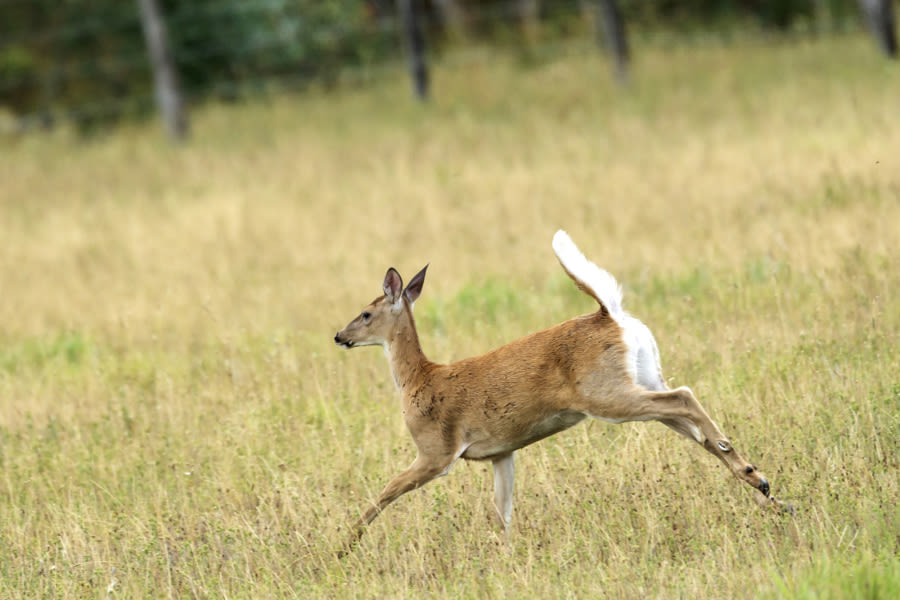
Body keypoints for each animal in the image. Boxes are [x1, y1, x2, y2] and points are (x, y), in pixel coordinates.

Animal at [332, 229, 788, 552]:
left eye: (366, 313)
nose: (339, 336)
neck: (419, 379)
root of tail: (611, 314)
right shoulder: (501, 452)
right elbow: (502, 515)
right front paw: (505, 558)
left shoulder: (436, 451)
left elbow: (387, 490)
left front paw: (343, 544)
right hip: (641, 378)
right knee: (690, 421)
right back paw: (769, 491)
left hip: (607, 394)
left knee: (685, 397)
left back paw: (759, 481)